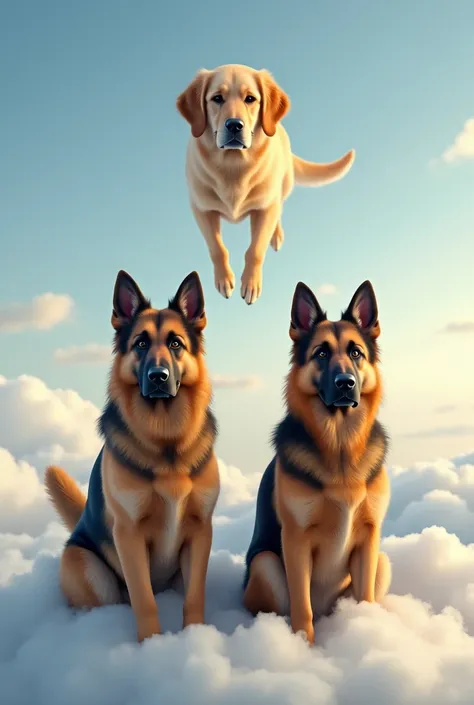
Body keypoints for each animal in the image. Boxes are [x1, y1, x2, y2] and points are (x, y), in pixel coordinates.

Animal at [44, 270, 220, 644]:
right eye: (140, 343)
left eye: (176, 344)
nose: (158, 377)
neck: (166, 440)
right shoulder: (129, 535)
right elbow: (144, 599)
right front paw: (152, 646)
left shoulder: (201, 533)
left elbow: (195, 596)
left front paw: (195, 640)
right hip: (87, 568)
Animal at [178, 66, 356, 306]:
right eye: (217, 98)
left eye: (250, 99)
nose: (234, 125)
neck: (233, 167)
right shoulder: (201, 209)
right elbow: (217, 248)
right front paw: (224, 280)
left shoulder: (264, 208)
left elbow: (255, 249)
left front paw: (251, 284)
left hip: (283, 184)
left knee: (279, 206)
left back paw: (276, 234)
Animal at [243, 278, 390, 640]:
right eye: (321, 353)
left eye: (356, 352)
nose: (345, 384)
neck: (340, 447)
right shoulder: (295, 541)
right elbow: (302, 609)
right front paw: (304, 648)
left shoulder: (369, 539)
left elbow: (365, 597)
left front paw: (366, 631)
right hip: (265, 563)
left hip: (383, 561)